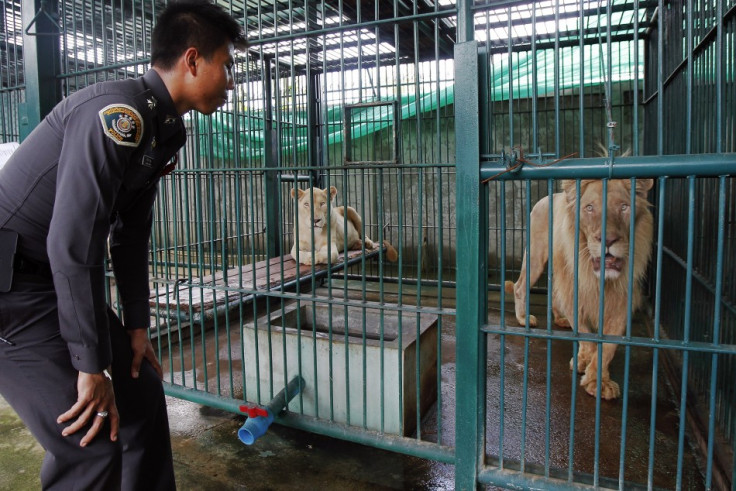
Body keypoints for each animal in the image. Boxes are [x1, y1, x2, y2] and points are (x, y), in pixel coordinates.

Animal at [506, 177, 656, 400]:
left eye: (624, 207)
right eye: (589, 208)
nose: (608, 240)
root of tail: (545, 198)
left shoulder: (622, 303)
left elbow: (608, 346)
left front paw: (598, 381)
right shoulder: (573, 293)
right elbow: (585, 334)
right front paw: (584, 362)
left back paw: (559, 319)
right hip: (536, 255)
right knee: (519, 286)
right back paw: (524, 318)